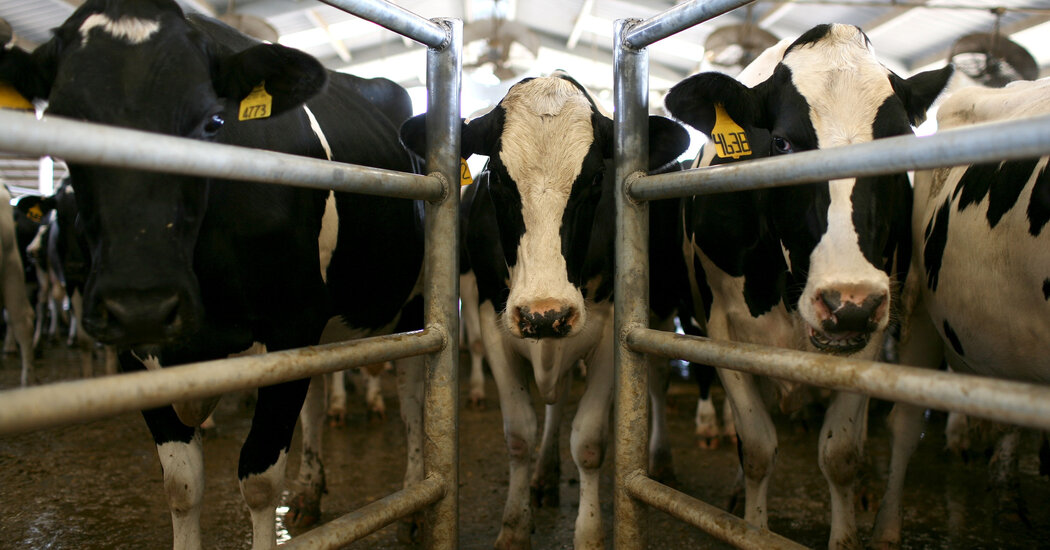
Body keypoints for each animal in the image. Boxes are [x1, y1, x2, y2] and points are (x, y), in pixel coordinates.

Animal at [0, 2, 424, 549]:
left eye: (214, 121)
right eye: (60, 120)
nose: (141, 304)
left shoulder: (290, 322)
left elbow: (259, 479)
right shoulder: (135, 353)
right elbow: (182, 484)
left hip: (412, 307)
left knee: (412, 398)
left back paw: (414, 503)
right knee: (315, 402)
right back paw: (310, 494)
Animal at [402, 73, 689, 549]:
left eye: (595, 178)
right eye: (497, 177)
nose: (544, 313)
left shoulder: (609, 329)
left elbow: (588, 443)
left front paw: (589, 534)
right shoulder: (494, 321)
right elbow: (519, 434)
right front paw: (514, 527)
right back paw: (542, 475)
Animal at [664, 24, 953, 549]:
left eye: (901, 139)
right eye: (780, 142)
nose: (849, 303)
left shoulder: (871, 335)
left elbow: (839, 454)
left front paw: (845, 533)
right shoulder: (720, 330)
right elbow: (757, 447)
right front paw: (753, 528)